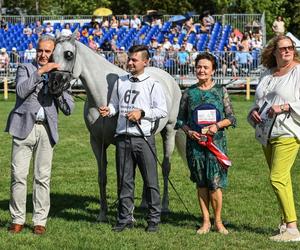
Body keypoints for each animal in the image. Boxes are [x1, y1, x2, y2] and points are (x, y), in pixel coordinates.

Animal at [49, 31, 182, 221]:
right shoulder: (97, 142)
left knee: (165, 167)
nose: (54, 85)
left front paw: (127, 214)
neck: (103, 97)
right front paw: (103, 214)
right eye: (51, 55)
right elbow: (103, 177)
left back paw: (164, 206)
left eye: (69, 54)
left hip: (169, 131)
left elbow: (124, 177)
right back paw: (144, 202)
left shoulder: (121, 141)